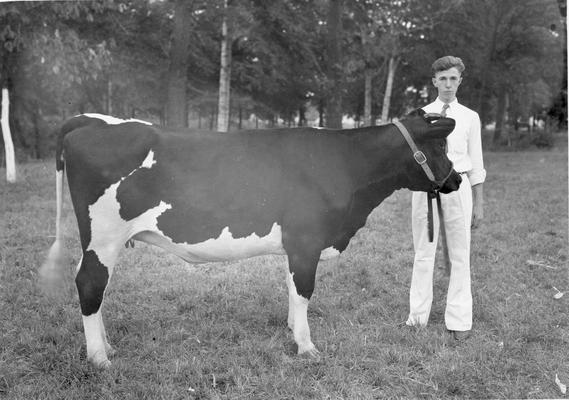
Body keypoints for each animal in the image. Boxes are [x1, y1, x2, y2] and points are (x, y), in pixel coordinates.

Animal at [40, 109, 460, 368]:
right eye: (440, 146)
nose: (456, 180)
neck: (344, 166)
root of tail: (91, 121)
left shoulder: (296, 246)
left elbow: (292, 288)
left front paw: (292, 331)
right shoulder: (306, 240)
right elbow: (304, 291)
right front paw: (307, 346)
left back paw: (106, 345)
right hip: (104, 236)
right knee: (90, 283)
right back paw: (99, 358)